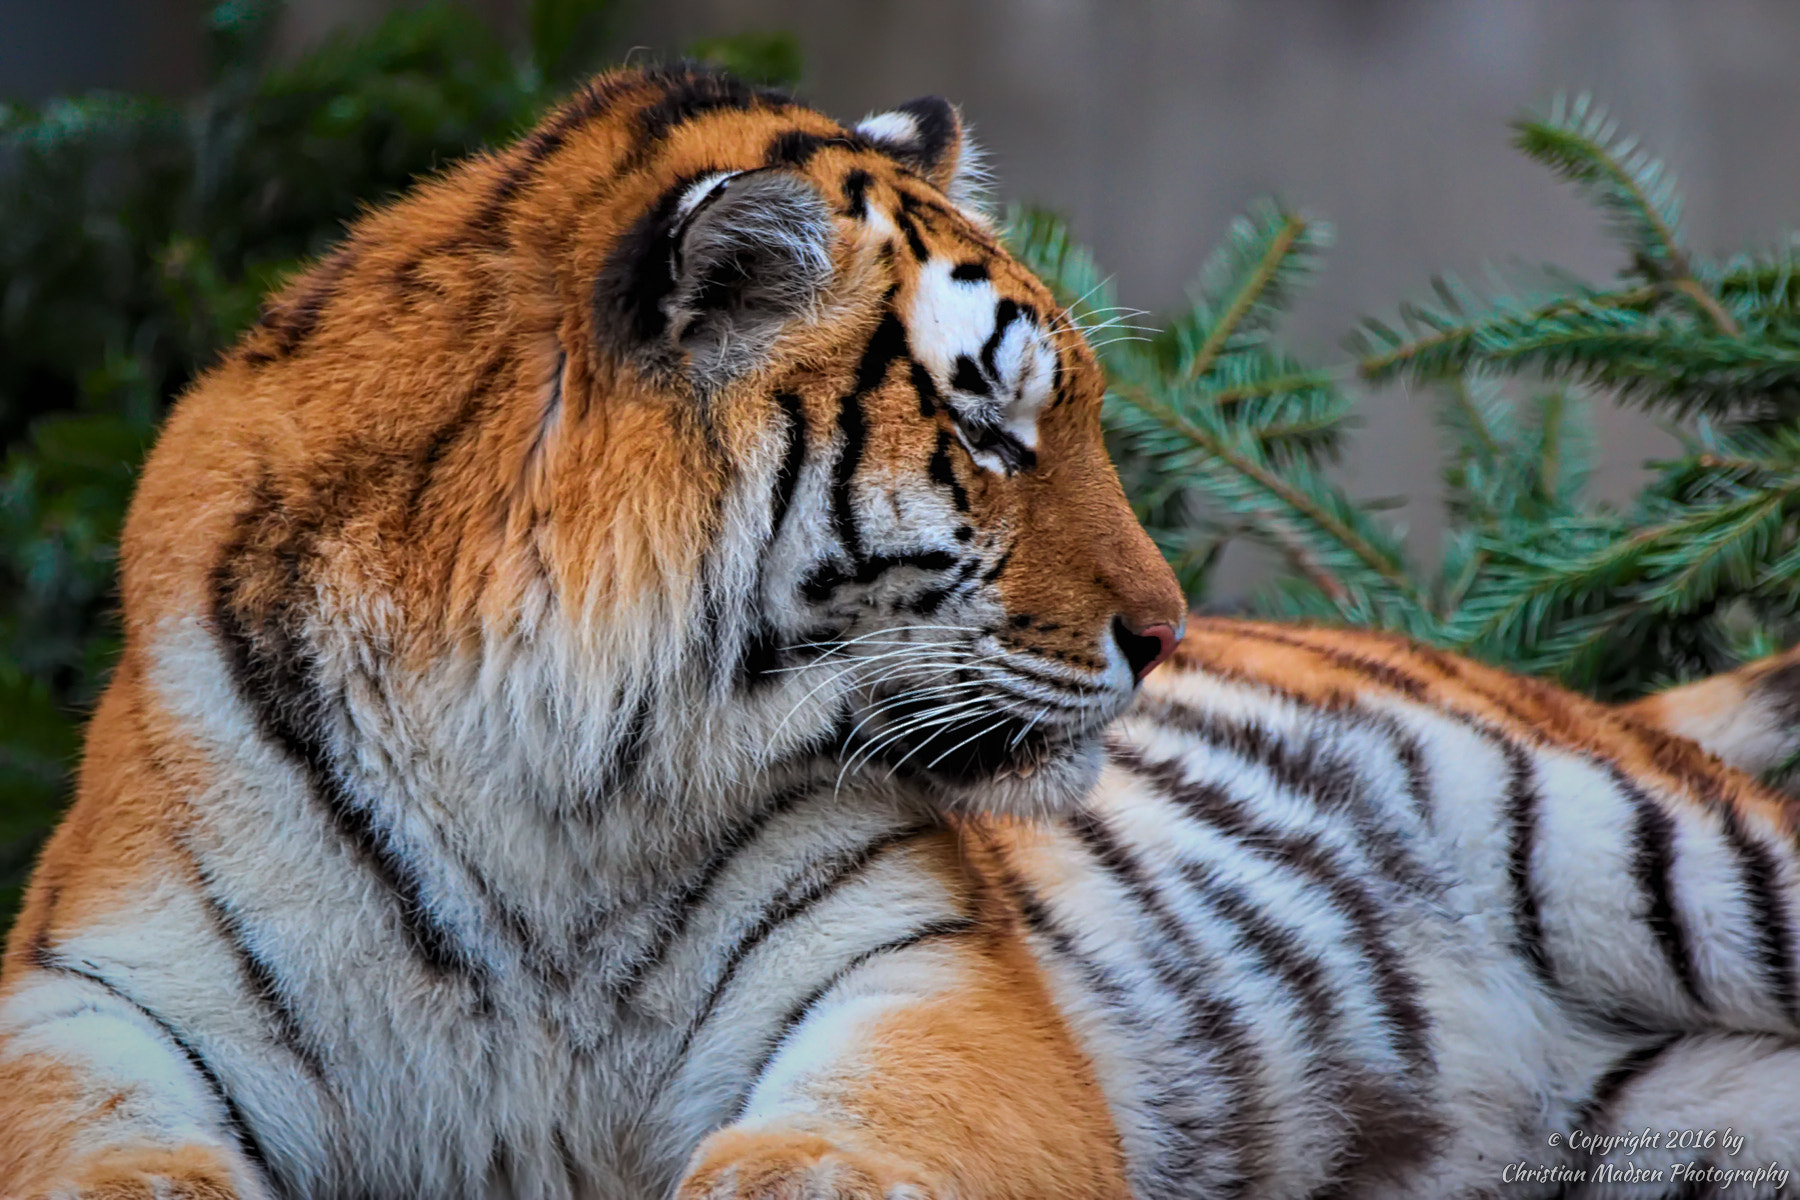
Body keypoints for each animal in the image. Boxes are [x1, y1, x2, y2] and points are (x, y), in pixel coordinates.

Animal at [3, 63, 1799, 1200]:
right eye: (995, 431)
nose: (1167, 631)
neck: (549, 789)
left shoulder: (927, 982)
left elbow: (828, 1153)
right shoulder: (91, 997)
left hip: (1663, 851)